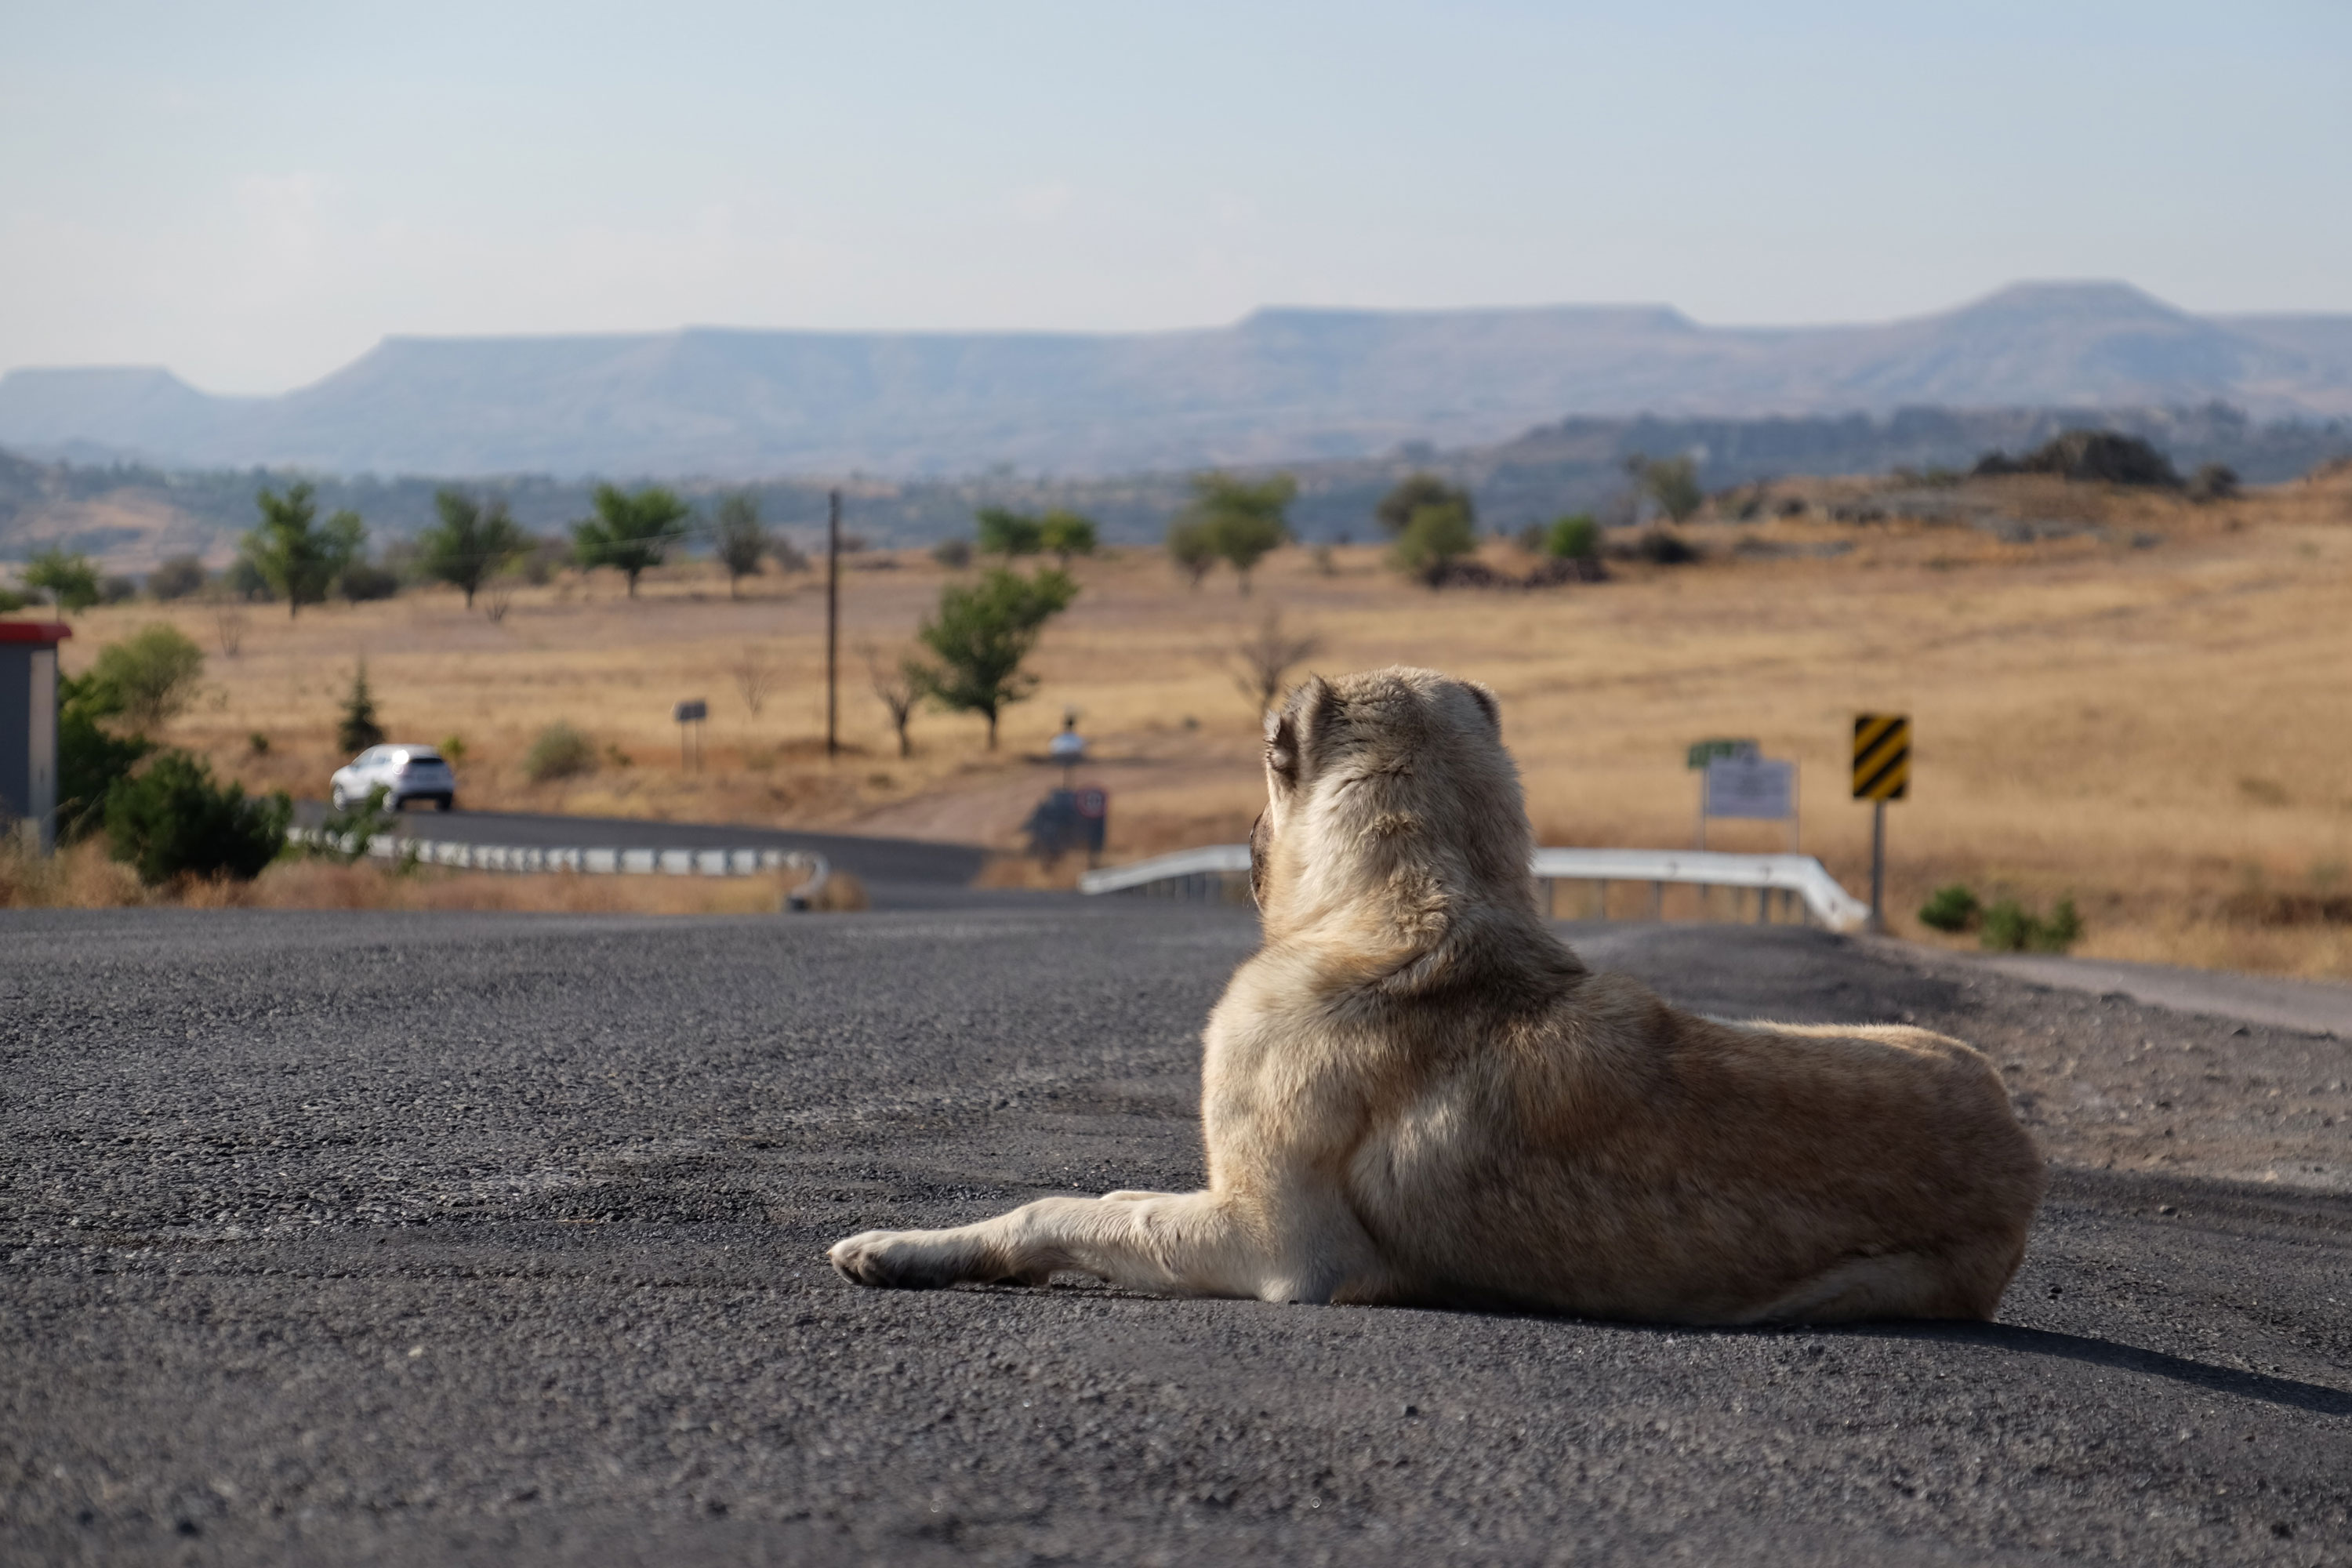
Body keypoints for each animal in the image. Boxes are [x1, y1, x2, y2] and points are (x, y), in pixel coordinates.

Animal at [828, 667, 2042, 1326]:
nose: (1245, 836)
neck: (1411, 895)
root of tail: (2024, 1157)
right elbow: (1102, 1197)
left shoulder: (1269, 1243)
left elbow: (1066, 1207)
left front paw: (909, 1245)